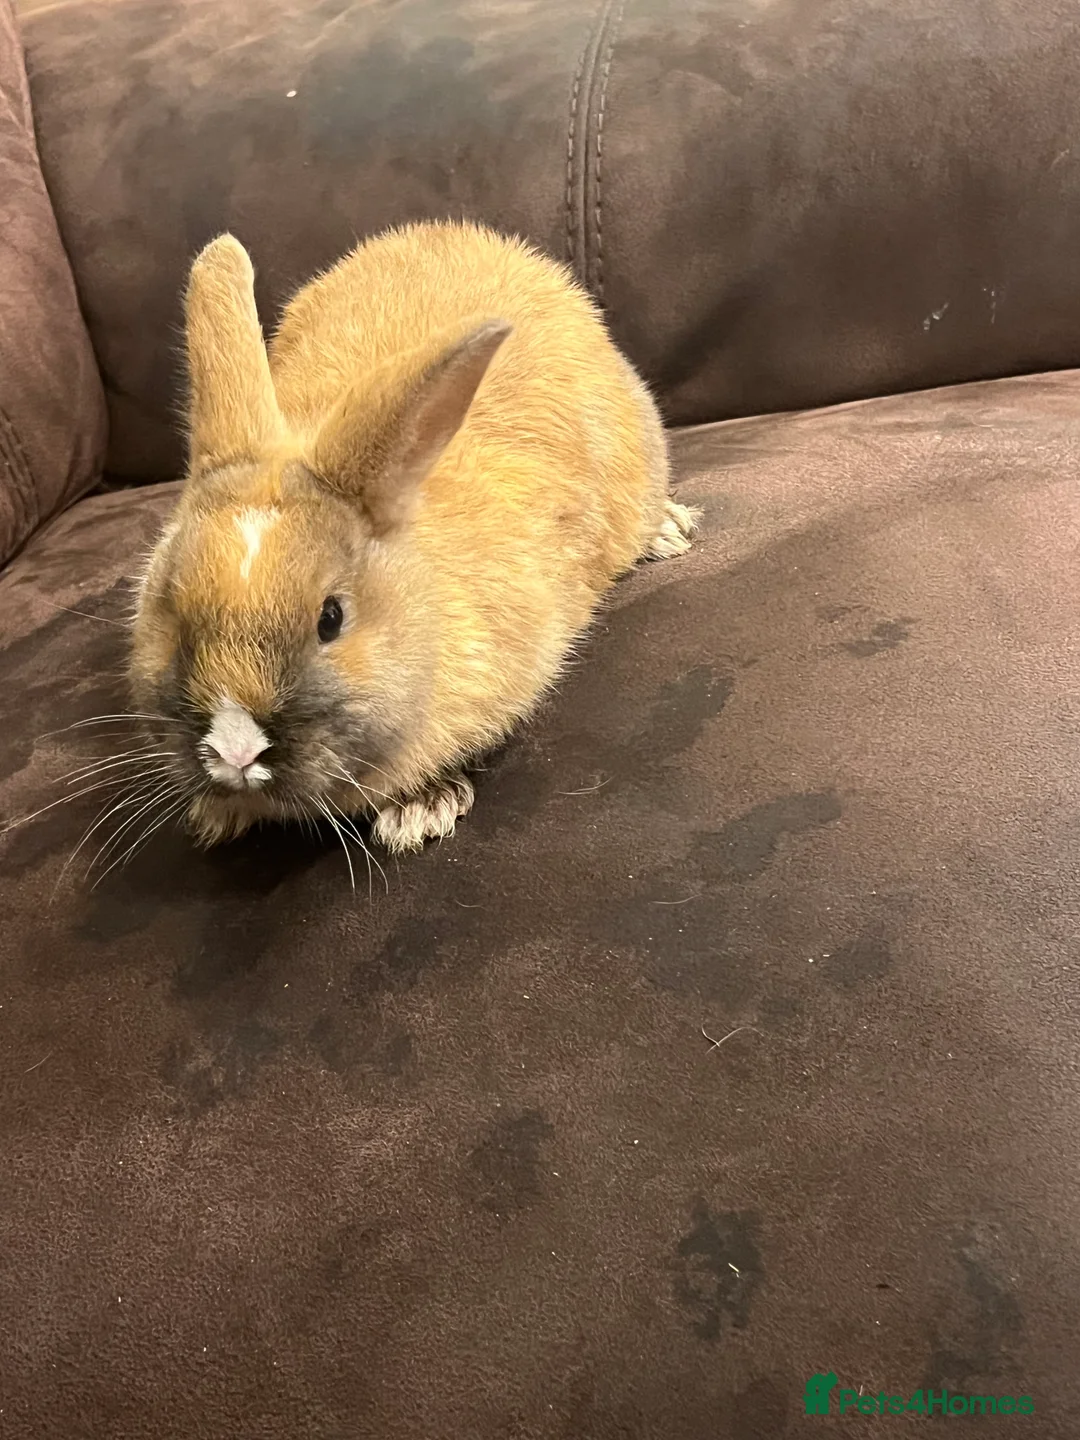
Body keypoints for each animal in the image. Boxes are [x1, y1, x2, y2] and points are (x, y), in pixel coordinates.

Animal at [129, 220, 698, 854]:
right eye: (170, 610)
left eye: (331, 618)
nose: (235, 750)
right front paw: (215, 816)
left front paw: (417, 814)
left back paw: (669, 531)